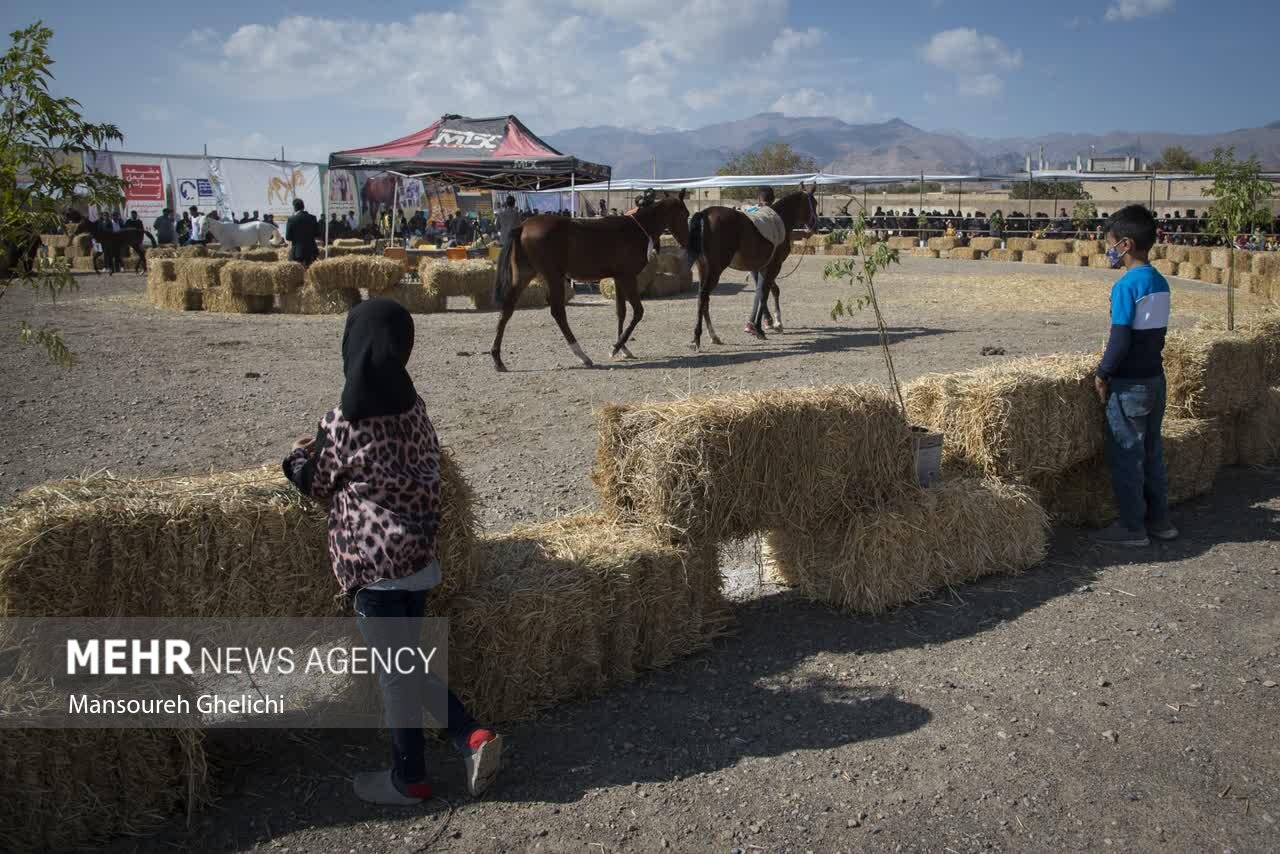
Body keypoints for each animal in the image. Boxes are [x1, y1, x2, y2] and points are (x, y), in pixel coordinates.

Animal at [488, 194, 691, 373]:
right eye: (685, 214)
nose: (687, 241)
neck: (635, 229)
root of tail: (523, 226)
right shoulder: (628, 276)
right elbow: (638, 311)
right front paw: (616, 347)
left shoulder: (618, 277)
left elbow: (621, 312)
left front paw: (623, 348)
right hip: (553, 276)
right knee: (558, 312)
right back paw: (582, 355)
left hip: (524, 275)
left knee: (507, 309)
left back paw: (497, 359)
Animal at [686, 185, 814, 348]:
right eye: (814, 203)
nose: (814, 225)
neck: (781, 219)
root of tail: (704, 214)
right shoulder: (774, 266)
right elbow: (766, 293)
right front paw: (764, 327)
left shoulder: (762, 267)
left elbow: (765, 292)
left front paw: (765, 324)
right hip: (714, 270)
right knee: (703, 297)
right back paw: (698, 337)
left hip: (703, 268)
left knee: (703, 299)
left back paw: (713, 336)